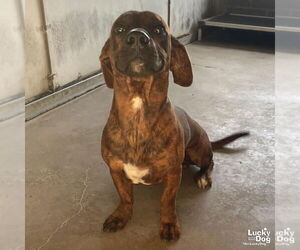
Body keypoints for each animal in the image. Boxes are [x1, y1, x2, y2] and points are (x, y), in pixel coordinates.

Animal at [99, 10, 247, 241]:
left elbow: (167, 202)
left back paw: (203, 177)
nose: (137, 38)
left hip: (198, 151)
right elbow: (125, 198)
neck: (138, 115)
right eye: (119, 28)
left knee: (211, 162)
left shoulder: (172, 175)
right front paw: (121, 215)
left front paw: (168, 224)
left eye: (158, 29)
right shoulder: (115, 170)